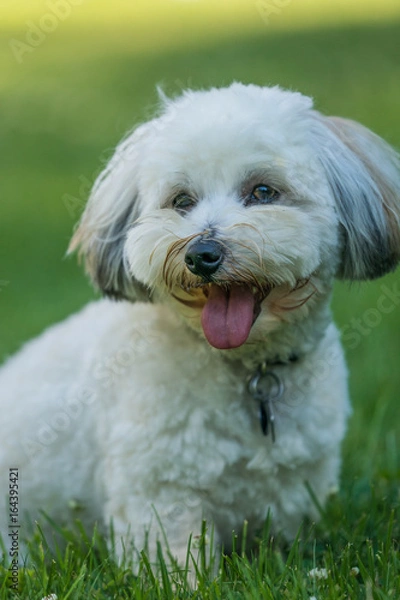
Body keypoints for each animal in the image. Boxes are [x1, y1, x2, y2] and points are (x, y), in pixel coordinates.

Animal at [0, 84, 400, 568]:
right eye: (181, 201)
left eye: (263, 191)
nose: (201, 255)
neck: (247, 369)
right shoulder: (160, 489)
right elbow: (172, 557)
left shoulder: (296, 483)